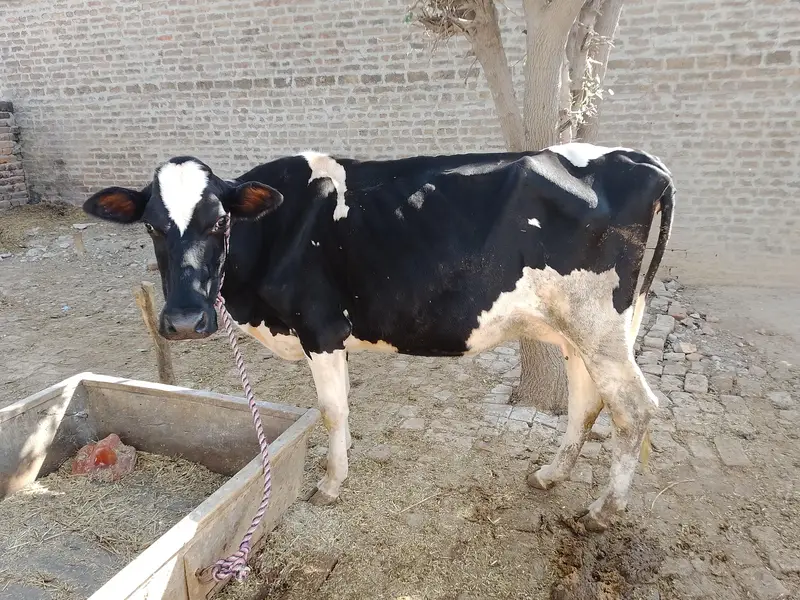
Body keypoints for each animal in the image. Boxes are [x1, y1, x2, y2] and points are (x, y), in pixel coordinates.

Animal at [82, 142, 675, 531]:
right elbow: (342, 405)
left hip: (598, 321)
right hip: (579, 328)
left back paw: (603, 511)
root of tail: (635, 158)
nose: (185, 319)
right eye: (153, 225)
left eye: (219, 221)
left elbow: (331, 409)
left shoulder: (320, 327)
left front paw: (330, 484)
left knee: (635, 408)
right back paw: (550, 475)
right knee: (587, 400)